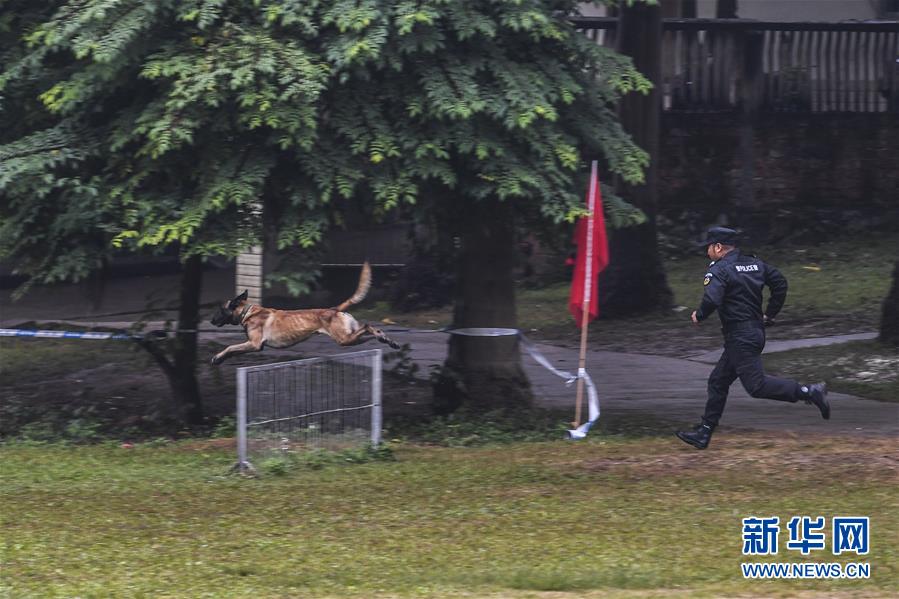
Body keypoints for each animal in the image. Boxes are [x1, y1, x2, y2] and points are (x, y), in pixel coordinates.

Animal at [209, 262, 400, 366]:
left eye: (220, 309)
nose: (211, 321)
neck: (247, 312)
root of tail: (335, 308)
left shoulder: (254, 344)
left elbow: (230, 347)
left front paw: (217, 357)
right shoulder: (252, 345)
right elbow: (233, 350)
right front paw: (220, 359)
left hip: (345, 339)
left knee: (368, 326)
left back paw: (382, 337)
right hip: (349, 339)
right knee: (370, 332)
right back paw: (387, 340)